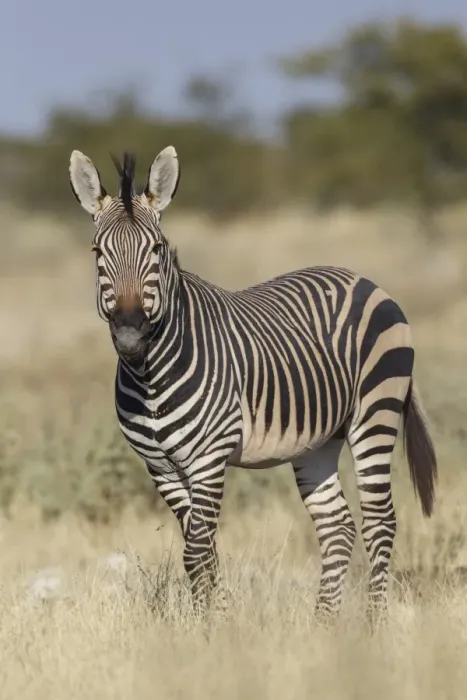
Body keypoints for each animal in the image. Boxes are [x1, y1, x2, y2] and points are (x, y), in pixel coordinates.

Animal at [68, 146, 438, 621]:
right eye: (98, 251)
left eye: (156, 249)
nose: (131, 335)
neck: (149, 376)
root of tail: (363, 279)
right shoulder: (161, 467)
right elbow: (203, 550)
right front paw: (216, 623)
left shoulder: (209, 456)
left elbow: (197, 551)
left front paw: (212, 629)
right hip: (318, 441)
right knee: (337, 526)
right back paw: (324, 627)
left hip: (375, 412)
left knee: (379, 521)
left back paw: (372, 624)